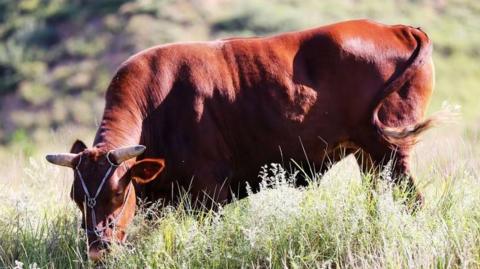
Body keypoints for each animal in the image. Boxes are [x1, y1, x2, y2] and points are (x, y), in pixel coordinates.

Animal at [47, 19, 436, 258]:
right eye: (76, 197)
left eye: (117, 193)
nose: (98, 248)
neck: (156, 104)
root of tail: (398, 28)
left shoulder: (210, 191)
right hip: (369, 155)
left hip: (393, 150)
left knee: (414, 200)